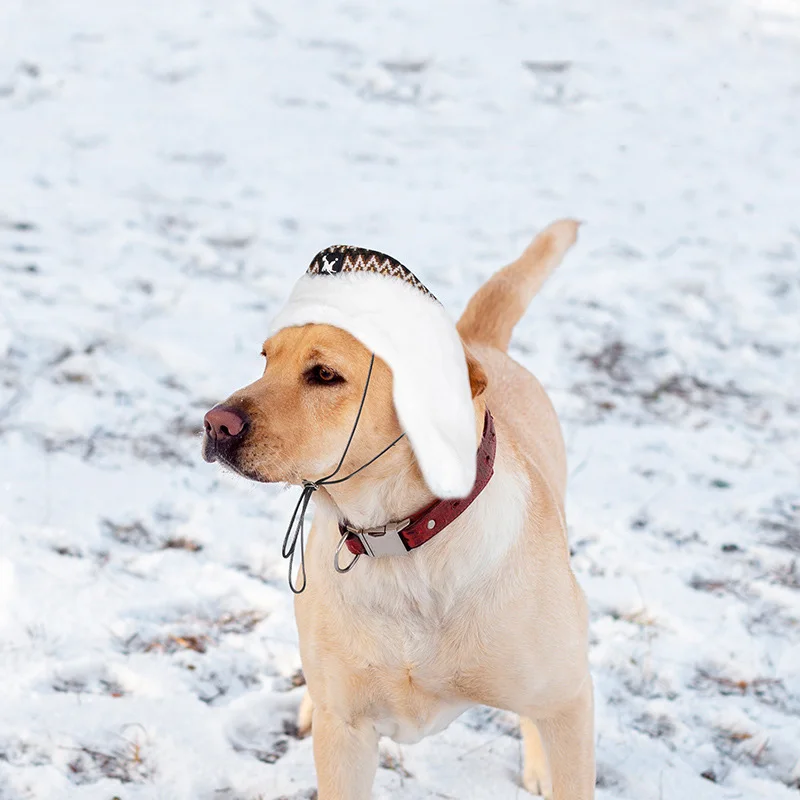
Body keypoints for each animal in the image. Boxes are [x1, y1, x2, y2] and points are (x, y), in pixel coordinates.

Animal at [205, 220, 592, 800]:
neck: (403, 540)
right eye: (265, 358)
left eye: (325, 375)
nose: (214, 423)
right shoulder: (346, 736)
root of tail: (474, 341)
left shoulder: (569, 701)